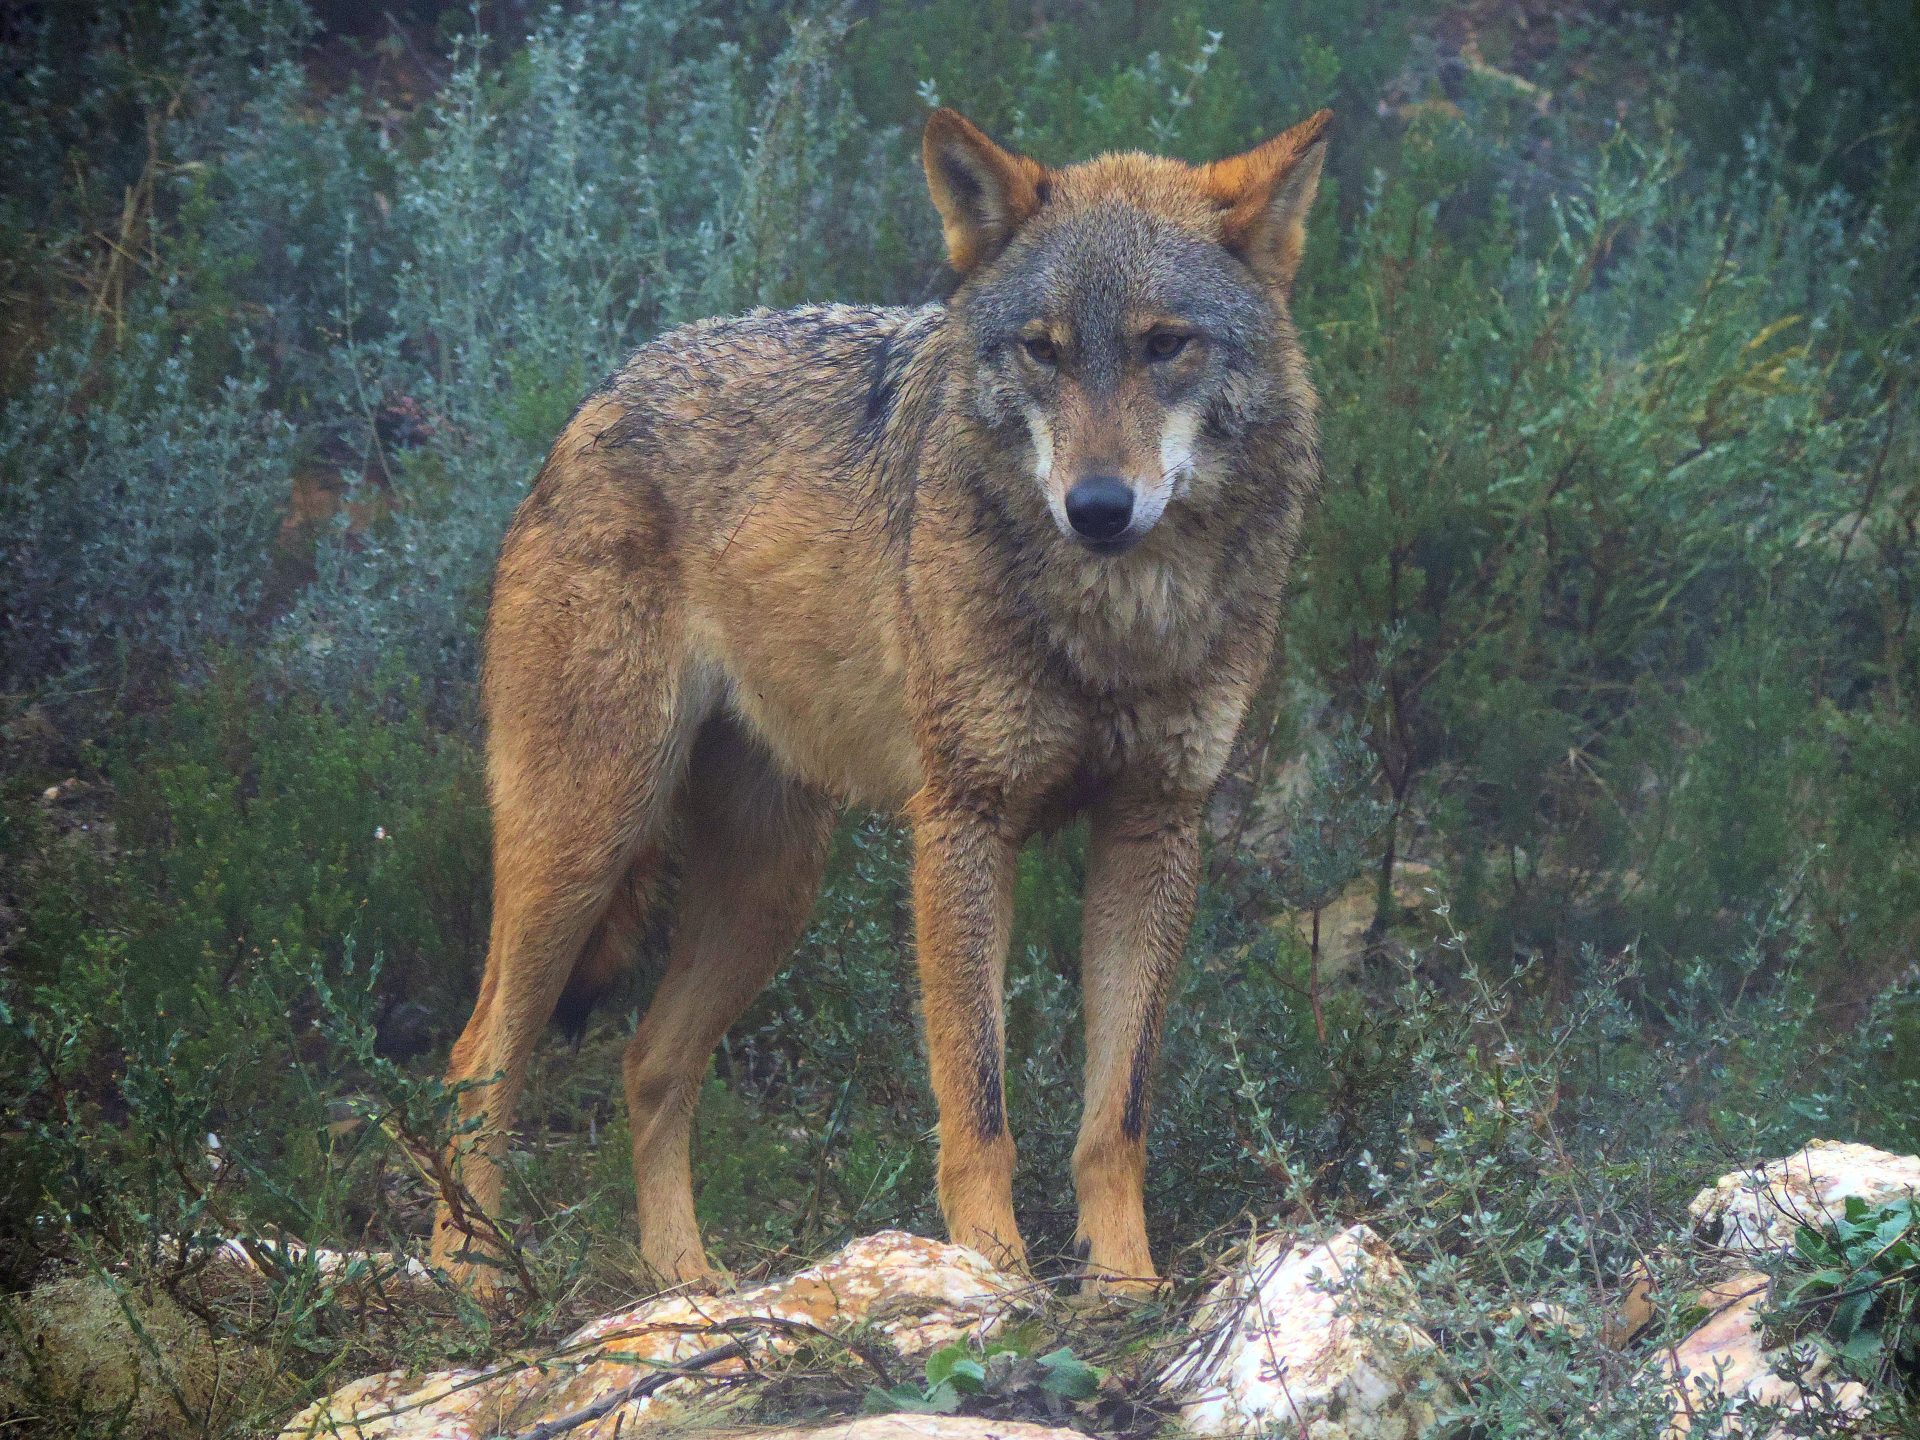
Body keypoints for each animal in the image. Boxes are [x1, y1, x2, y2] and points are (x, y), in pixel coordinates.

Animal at [428, 105, 1331, 1297]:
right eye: (1043, 349)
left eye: (1164, 344)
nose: (1097, 507)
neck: (1118, 620)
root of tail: (596, 398)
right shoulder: (965, 823)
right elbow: (977, 1096)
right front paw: (993, 1271)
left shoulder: (1154, 831)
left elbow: (1116, 1115)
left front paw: (1126, 1286)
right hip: (584, 844)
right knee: (476, 1058)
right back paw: (467, 1276)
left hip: (771, 888)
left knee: (648, 1063)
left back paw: (689, 1283)